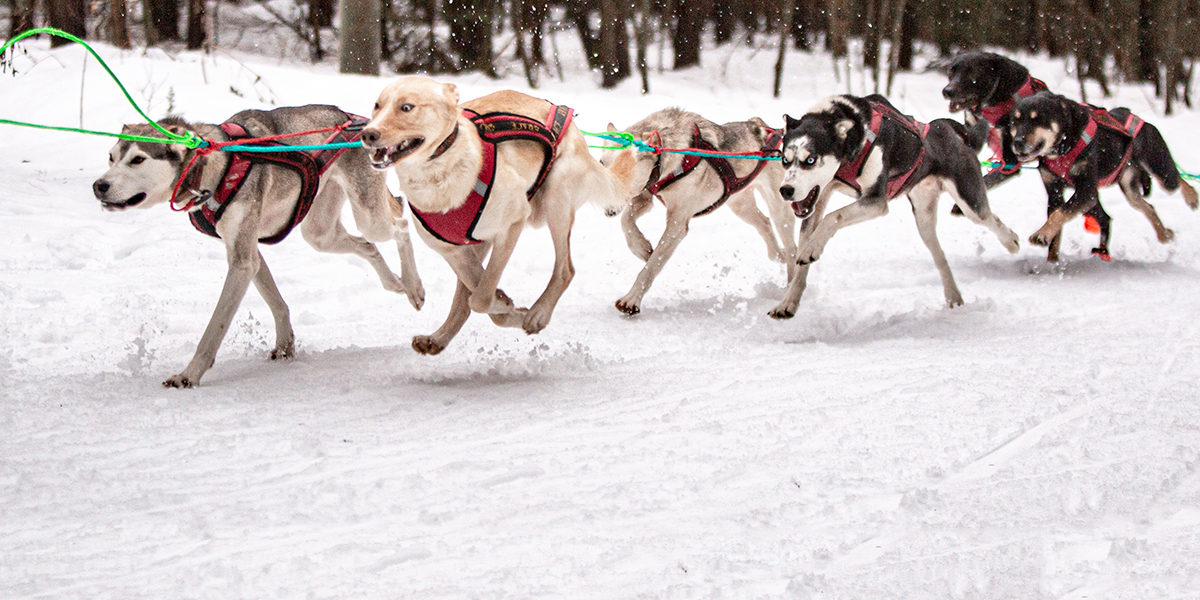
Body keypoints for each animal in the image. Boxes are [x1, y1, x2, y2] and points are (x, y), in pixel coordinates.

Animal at [93, 105, 424, 388]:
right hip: (320, 234)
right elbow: (276, 302)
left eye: (137, 159)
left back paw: (414, 287)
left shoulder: (242, 262)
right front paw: (285, 344)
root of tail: (355, 119)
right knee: (367, 245)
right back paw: (394, 283)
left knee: (400, 223)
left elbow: (214, 327)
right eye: (110, 157)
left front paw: (189, 375)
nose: (99, 186)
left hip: (369, 215)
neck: (215, 166)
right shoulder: (247, 253)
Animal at [357, 77, 624, 352]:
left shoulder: (512, 225)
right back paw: (439, 338)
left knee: (564, 270)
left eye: (406, 107)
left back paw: (538, 313)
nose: (368, 133)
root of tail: (565, 117)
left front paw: (510, 308)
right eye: (377, 106)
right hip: (478, 242)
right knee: (463, 299)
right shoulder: (453, 251)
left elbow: (481, 298)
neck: (438, 178)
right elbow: (476, 295)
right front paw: (507, 307)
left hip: (556, 198)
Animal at [600, 108, 796, 314]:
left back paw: (790, 287)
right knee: (765, 224)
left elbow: (652, 265)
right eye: (601, 163)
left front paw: (631, 299)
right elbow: (626, 222)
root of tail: (769, 131)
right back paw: (777, 254)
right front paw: (641, 247)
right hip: (741, 205)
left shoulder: (677, 225)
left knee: (792, 248)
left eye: (625, 170)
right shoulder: (644, 197)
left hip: (779, 207)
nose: (606, 204)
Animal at [768, 92, 1022, 319]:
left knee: (989, 218)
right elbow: (803, 256)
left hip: (969, 200)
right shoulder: (816, 202)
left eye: (810, 160)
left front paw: (812, 248)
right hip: (924, 221)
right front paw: (787, 303)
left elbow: (834, 217)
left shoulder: (875, 201)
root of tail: (950, 131)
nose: (786, 190)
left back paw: (1011, 241)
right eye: (784, 160)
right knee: (940, 257)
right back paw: (953, 296)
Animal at [1008, 90, 1195, 260]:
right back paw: (1163, 234)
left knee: (1178, 179)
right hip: (1129, 189)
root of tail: (1142, 121)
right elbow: (1056, 230)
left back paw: (1191, 197)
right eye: (1015, 121)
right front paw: (1051, 261)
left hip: (1163, 174)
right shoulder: (1054, 192)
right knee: (1148, 206)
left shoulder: (1087, 192)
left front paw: (1041, 234)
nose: (1017, 142)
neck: (1064, 147)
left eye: (1037, 119)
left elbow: (1059, 213)